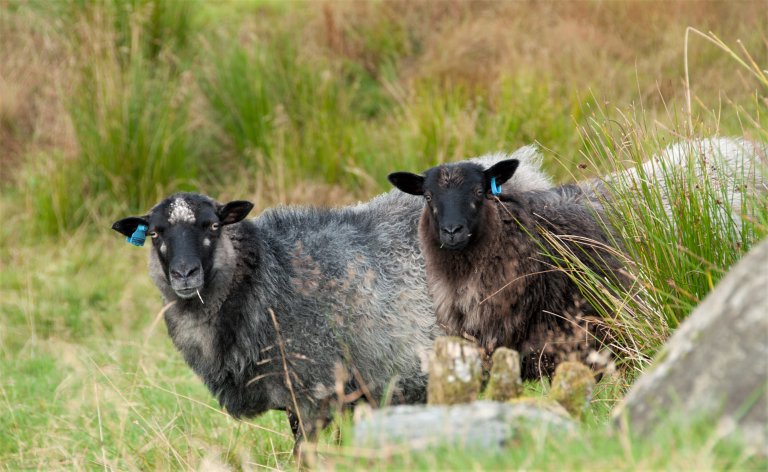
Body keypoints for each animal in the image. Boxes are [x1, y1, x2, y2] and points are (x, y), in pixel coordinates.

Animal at [109, 146, 552, 448]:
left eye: (213, 226)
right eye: (155, 233)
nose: (185, 274)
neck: (262, 279)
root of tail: (529, 177)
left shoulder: (314, 393)